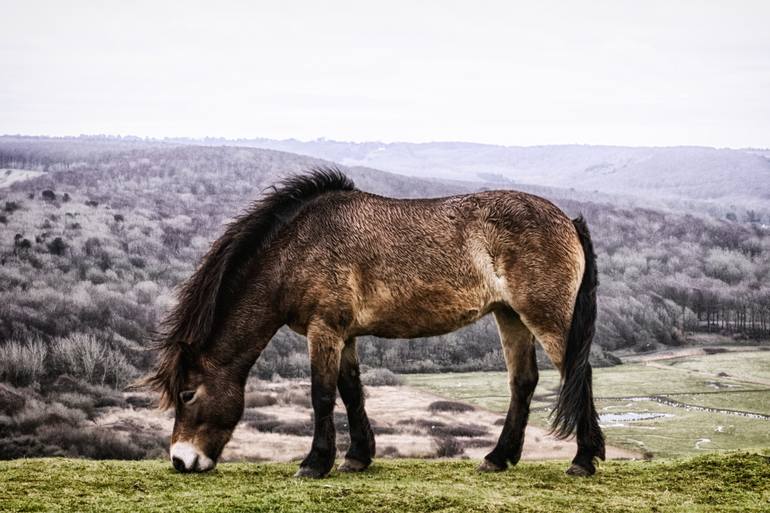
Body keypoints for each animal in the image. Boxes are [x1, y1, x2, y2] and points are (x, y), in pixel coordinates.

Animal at [141, 168, 604, 476]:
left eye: (187, 394)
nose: (181, 460)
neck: (297, 250)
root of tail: (568, 220)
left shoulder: (324, 331)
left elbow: (322, 395)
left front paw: (315, 463)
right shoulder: (344, 335)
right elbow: (352, 392)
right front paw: (357, 457)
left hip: (546, 318)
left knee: (577, 373)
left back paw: (583, 460)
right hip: (510, 316)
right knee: (523, 382)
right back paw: (498, 458)